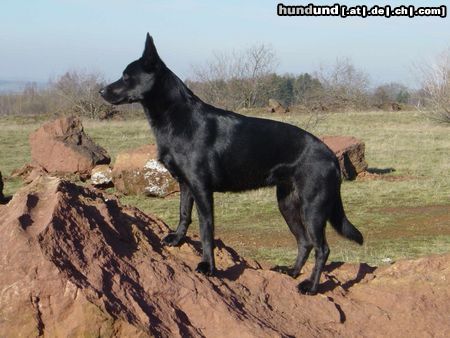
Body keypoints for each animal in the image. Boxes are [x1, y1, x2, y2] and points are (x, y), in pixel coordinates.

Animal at [100, 33, 364, 294]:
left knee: (322, 248)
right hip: (287, 204)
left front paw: (208, 266)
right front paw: (177, 238)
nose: (101, 91)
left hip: (313, 208)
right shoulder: (186, 185)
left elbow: (206, 230)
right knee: (305, 242)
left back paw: (311, 286)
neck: (177, 116)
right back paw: (291, 272)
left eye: (126, 76)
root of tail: (332, 156)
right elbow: (184, 214)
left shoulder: (202, 189)